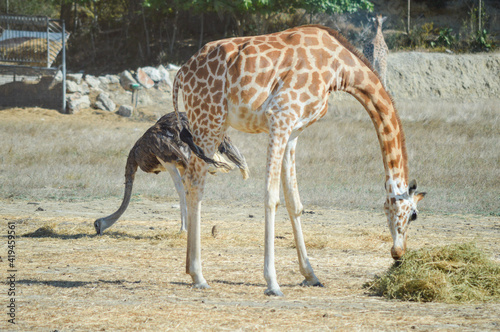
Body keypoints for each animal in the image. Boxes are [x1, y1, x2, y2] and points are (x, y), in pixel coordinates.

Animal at [173, 24, 426, 296]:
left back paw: (190, 270)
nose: (398, 253)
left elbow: (294, 201)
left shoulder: (294, 130)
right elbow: (271, 197)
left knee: (191, 180)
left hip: (204, 123)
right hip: (210, 120)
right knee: (195, 182)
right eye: (413, 215)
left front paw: (311, 274)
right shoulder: (280, 115)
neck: (339, 68)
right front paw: (272, 283)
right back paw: (198, 275)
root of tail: (181, 73)